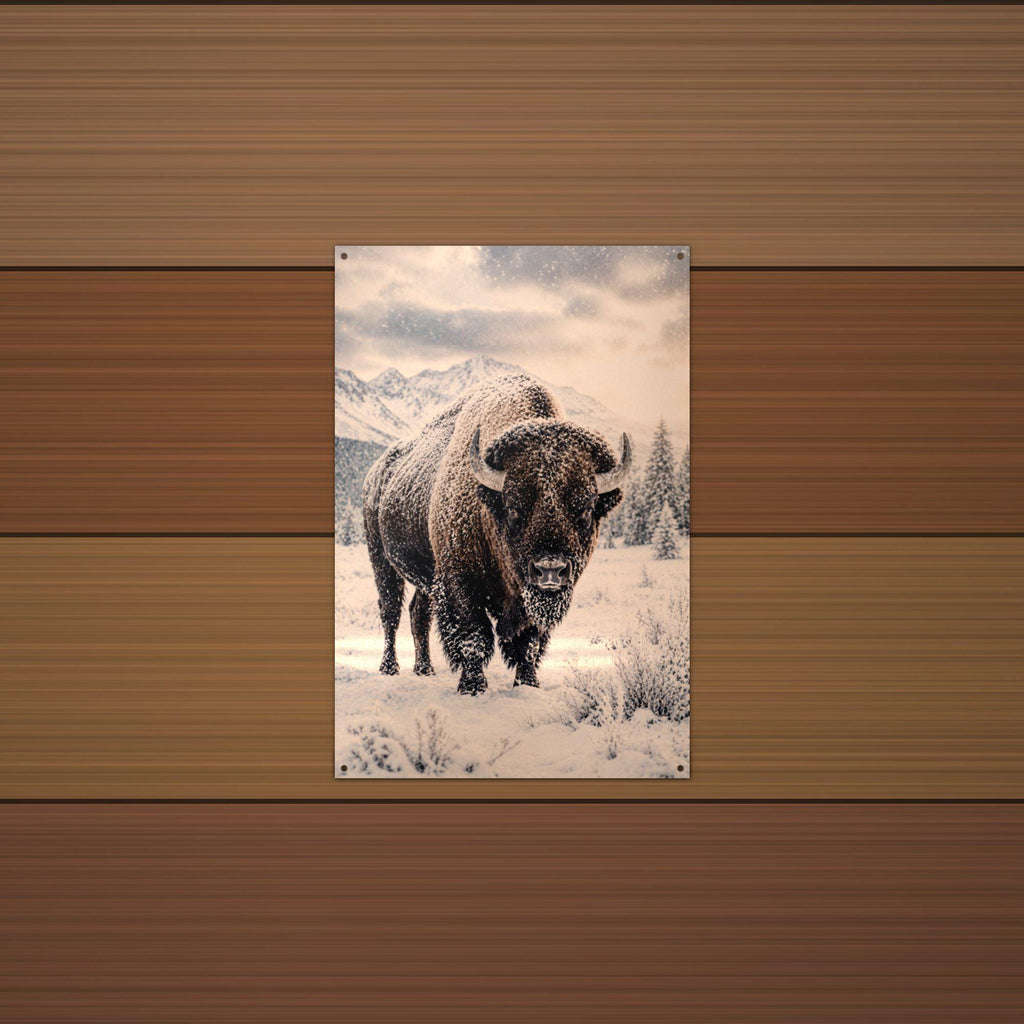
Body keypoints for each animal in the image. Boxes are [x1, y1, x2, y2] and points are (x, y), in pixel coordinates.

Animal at [362, 373, 631, 695]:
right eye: (513, 506)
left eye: (587, 509)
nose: (550, 570)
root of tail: (377, 473)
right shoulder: (460, 582)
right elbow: (474, 638)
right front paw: (472, 687)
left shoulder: (527, 598)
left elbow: (528, 644)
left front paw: (527, 684)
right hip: (381, 559)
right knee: (390, 612)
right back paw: (389, 668)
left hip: (425, 577)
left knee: (419, 614)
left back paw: (424, 669)